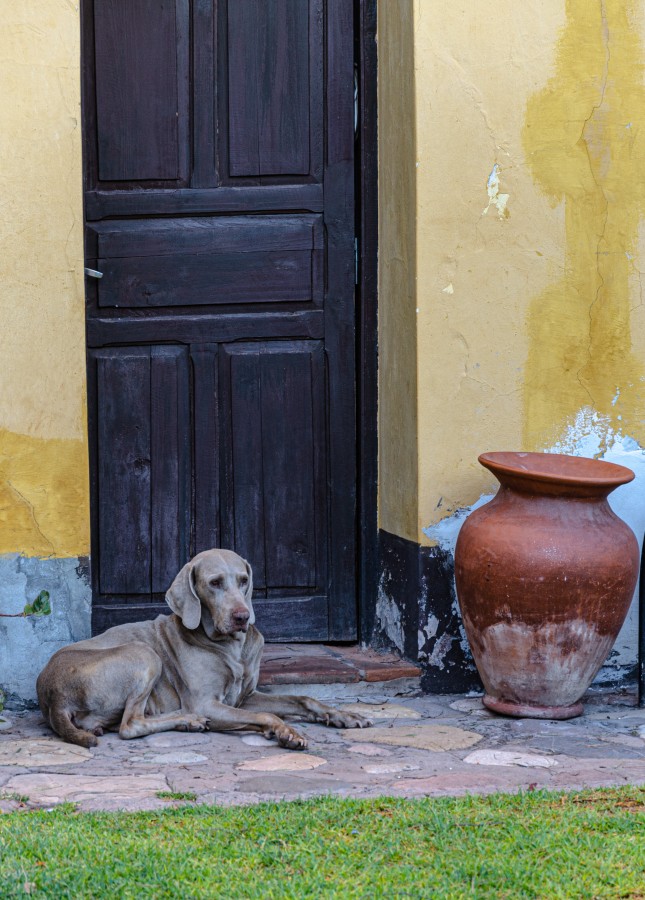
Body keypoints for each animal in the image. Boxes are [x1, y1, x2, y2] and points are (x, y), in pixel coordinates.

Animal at [37, 548, 370, 752]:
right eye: (215, 583)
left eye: (243, 580)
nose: (242, 617)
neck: (231, 647)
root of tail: (51, 695)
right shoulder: (207, 702)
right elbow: (267, 715)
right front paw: (286, 732)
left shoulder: (246, 696)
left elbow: (303, 699)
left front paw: (343, 716)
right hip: (143, 654)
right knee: (130, 725)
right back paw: (188, 719)